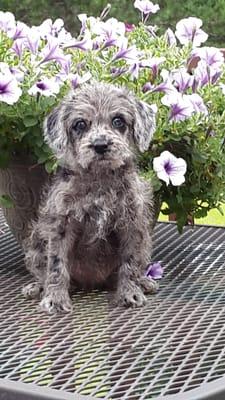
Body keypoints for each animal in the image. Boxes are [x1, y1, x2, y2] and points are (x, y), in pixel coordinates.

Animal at [22, 82, 158, 312]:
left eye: (118, 121)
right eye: (80, 124)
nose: (101, 145)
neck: (100, 181)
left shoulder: (132, 224)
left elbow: (130, 263)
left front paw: (129, 292)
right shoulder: (60, 225)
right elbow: (56, 265)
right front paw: (56, 297)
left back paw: (144, 282)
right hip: (35, 243)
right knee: (43, 272)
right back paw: (38, 287)